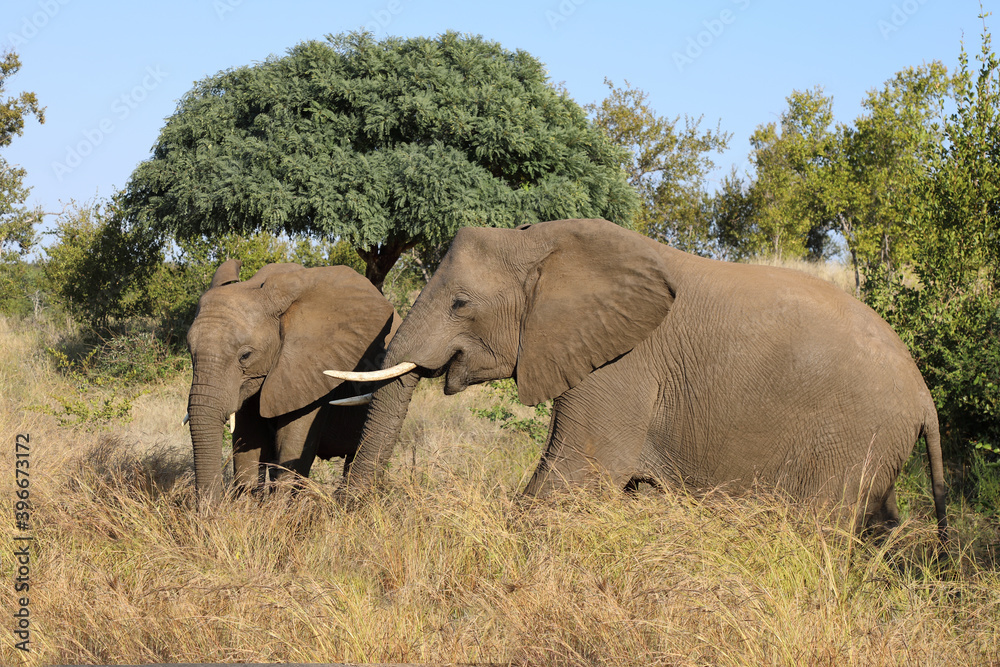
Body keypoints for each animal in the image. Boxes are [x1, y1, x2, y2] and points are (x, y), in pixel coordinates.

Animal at [185, 259, 398, 504]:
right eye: (189, 350)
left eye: (245, 355)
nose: (208, 510)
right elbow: (247, 440)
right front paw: (247, 508)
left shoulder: (310, 368)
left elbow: (292, 442)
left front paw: (278, 511)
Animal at [326, 218, 948, 540]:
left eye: (460, 302)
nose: (341, 519)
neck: (543, 241)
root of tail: (924, 396)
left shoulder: (623, 365)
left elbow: (576, 476)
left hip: (852, 442)